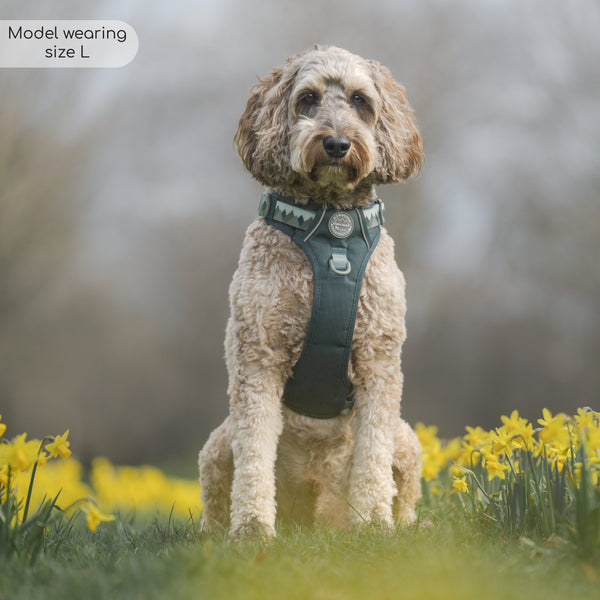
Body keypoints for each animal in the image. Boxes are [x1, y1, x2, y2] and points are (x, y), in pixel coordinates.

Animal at [199, 47, 424, 540]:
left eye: (360, 100)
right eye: (307, 99)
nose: (337, 143)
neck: (330, 229)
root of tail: (316, 514)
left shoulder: (379, 359)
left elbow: (372, 456)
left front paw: (373, 523)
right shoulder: (258, 357)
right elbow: (255, 456)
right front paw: (252, 528)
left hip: (407, 441)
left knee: (404, 493)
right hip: (218, 446)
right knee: (215, 497)